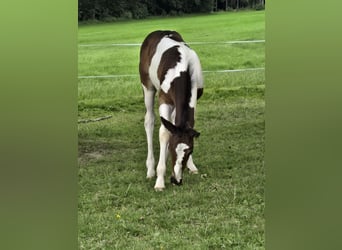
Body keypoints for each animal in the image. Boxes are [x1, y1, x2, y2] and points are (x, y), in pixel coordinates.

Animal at [139, 30, 203, 191]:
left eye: (190, 151)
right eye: (172, 149)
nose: (176, 180)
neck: (184, 70)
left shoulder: (195, 97)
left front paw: (191, 165)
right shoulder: (164, 100)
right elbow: (164, 132)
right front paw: (159, 180)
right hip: (147, 86)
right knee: (149, 120)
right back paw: (150, 169)